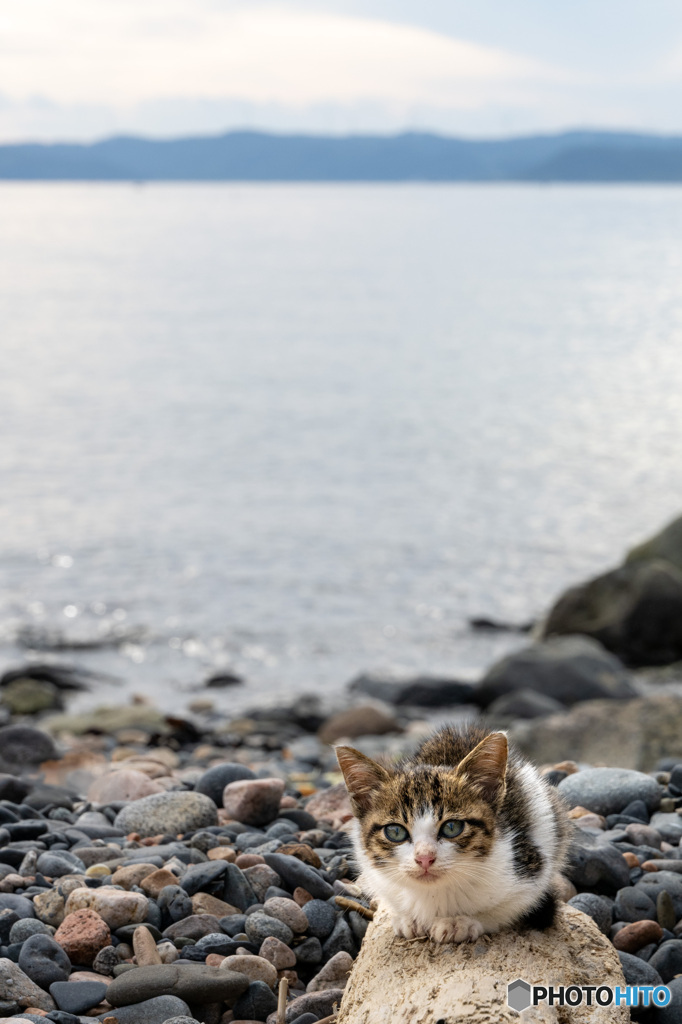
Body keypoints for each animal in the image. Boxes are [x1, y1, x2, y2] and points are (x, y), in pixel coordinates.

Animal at [335, 724, 569, 937]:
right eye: (395, 832)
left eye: (451, 827)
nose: (424, 858)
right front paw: (408, 919)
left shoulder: (530, 869)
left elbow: (509, 908)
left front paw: (460, 922)